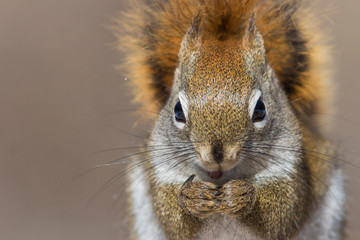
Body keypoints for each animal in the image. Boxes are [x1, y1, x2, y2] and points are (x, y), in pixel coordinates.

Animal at [115, 0, 346, 240]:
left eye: (260, 109)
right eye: (178, 111)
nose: (217, 155)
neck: (220, 178)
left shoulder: (291, 168)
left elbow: (281, 214)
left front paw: (241, 195)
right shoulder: (162, 171)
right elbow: (173, 219)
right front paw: (193, 196)